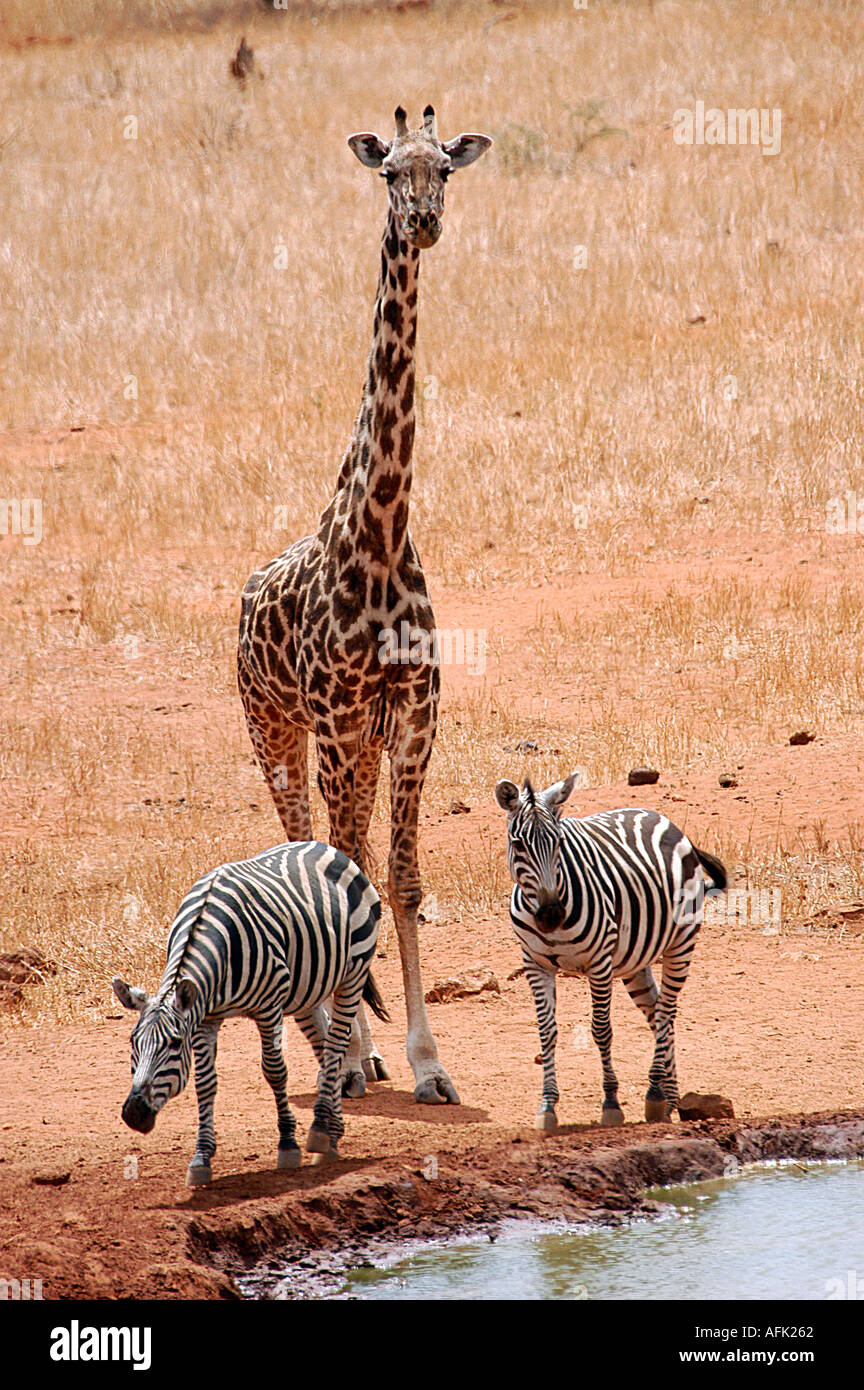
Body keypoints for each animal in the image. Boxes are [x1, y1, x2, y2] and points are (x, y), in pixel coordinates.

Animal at [112, 840, 388, 1186]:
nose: (134, 1113)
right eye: (132, 1044)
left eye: (174, 1044)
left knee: (337, 1045)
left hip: (354, 971)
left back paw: (320, 1130)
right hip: (307, 990)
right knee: (325, 1050)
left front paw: (288, 1144)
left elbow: (275, 1071)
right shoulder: (204, 1018)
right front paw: (201, 1157)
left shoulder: (268, 1007)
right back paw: (331, 1131)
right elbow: (205, 1081)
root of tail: (324, 846)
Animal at [237, 106, 491, 1104]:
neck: (382, 532)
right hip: (279, 733)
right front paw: (351, 1059)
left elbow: (404, 882)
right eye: (389, 174)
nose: (423, 222)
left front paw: (428, 1061)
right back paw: (334, 1052)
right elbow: (343, 878)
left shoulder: (413, 716)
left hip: (348, 745)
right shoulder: (342, 723)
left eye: (445, 172)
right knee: (305, 849)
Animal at [494, 773, 727, 1131]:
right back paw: (669, 1096)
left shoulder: (599, 962)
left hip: (681, 943)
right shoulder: (534, 964)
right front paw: (547, 1106)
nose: (551, 915)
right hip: (635, 961)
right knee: (656, 1013)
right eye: (518, 844)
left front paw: (611, 1103)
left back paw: (656, 1095)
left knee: (667, 1011)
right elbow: (546, 1032)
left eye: (558, 842)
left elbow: (601, 1030)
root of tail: (657, 815)